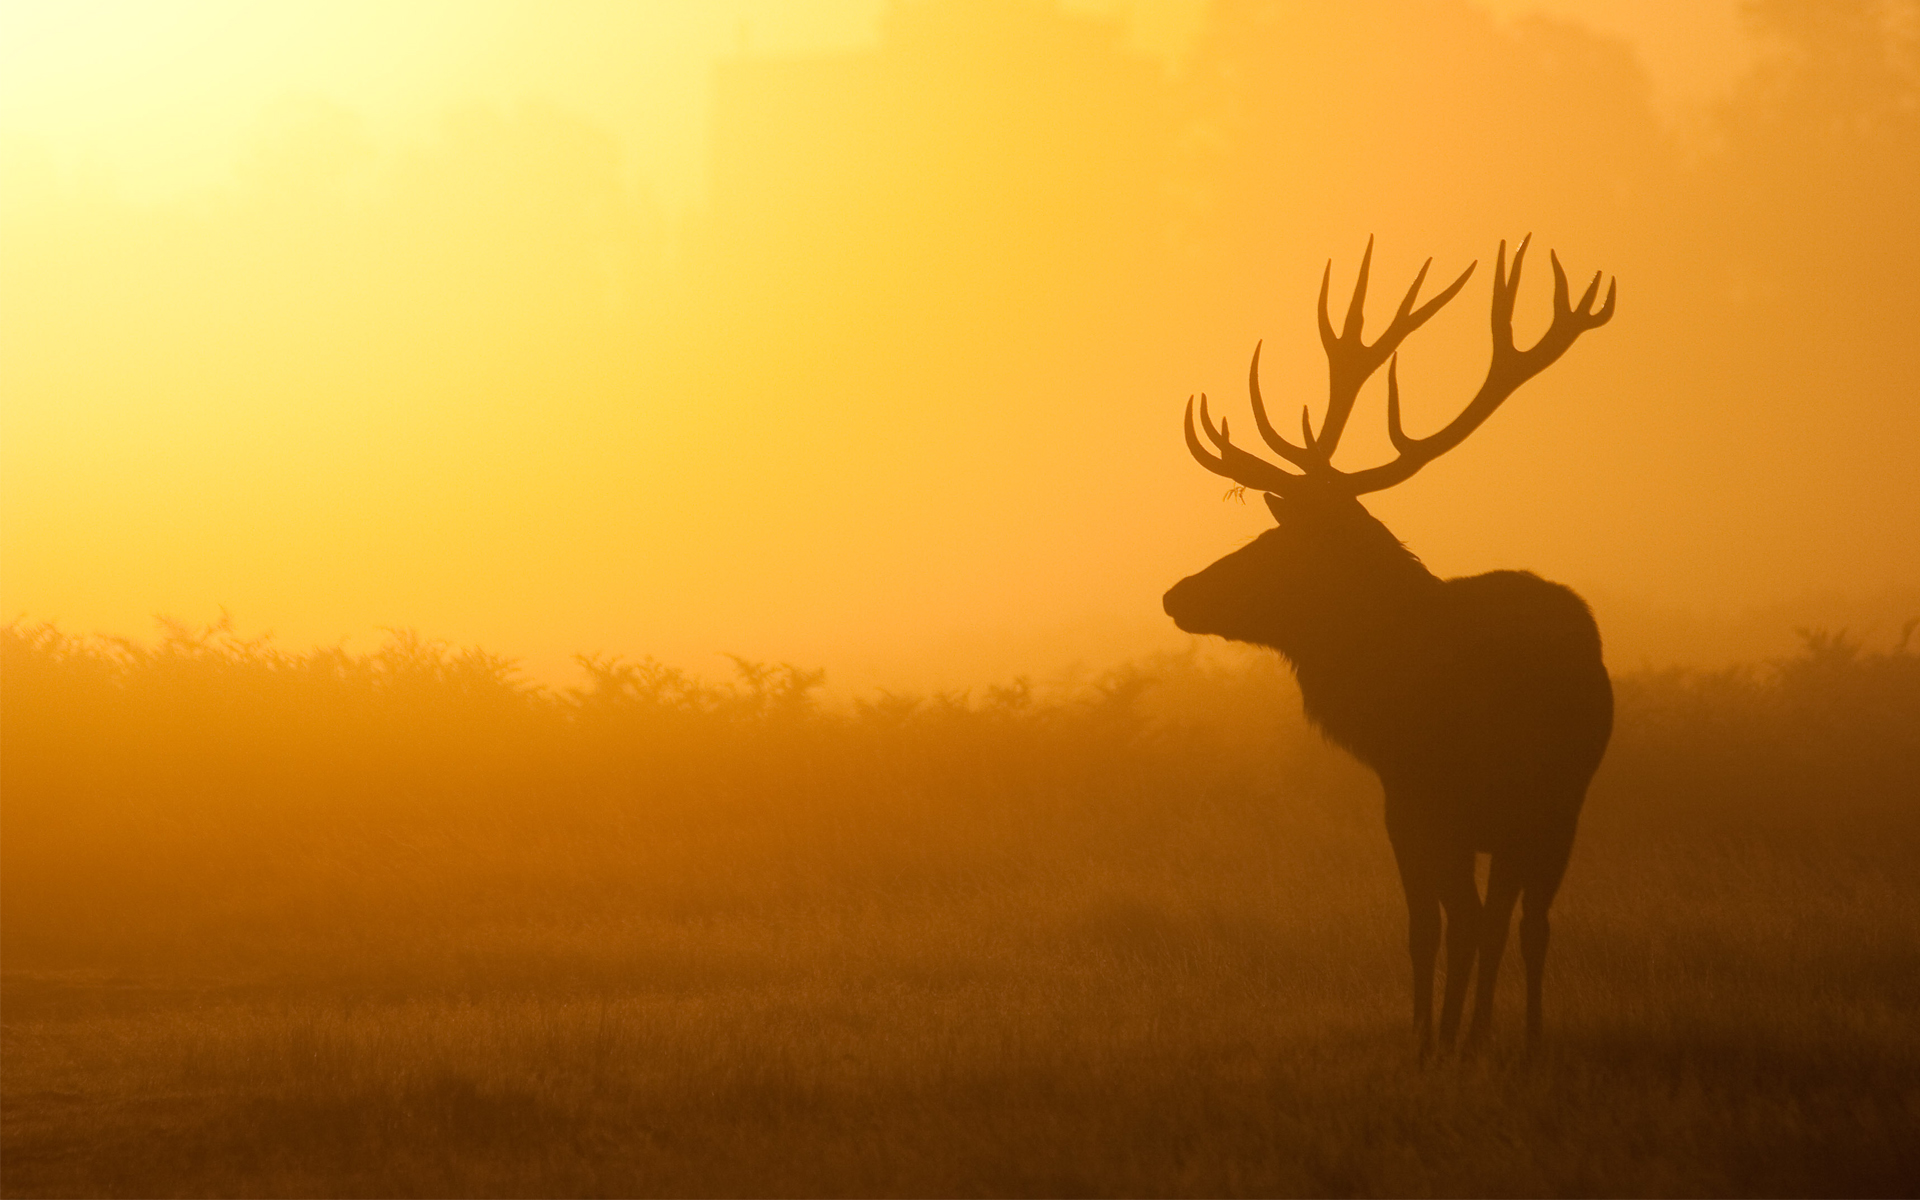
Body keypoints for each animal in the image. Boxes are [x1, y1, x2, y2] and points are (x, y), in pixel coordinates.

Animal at [1163, 236, 1616, 1055]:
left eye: (1276, 546)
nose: (1177, 593)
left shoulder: (1431, 804)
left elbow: (1447, 927)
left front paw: (1439, 1045)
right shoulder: (1428, 810)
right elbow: (1441, 928)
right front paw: (1440, 1039)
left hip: (1529, 804)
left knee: (1506, 921)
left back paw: (1494, 1040)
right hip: (1536, 812)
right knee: (1516, 920)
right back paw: (1508, 1037)